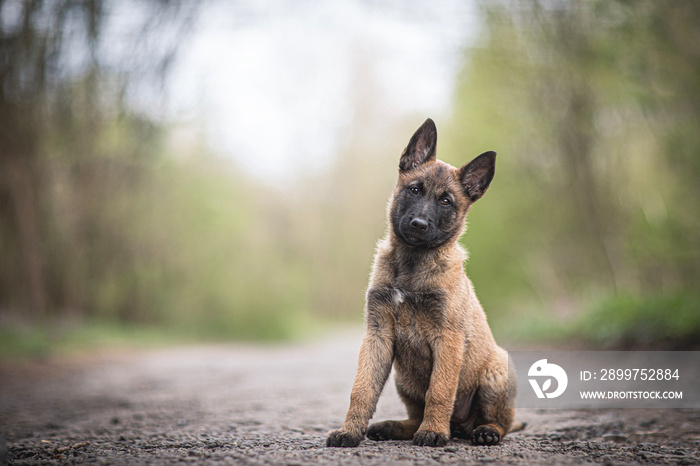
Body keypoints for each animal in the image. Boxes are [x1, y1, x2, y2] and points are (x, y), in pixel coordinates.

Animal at [326, 118, 516, 446]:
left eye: (446, 201)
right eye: (414, 190)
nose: (418, 225)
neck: (412, 263)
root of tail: (461, 426)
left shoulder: (448, 338)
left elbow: (439, 391)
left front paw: (433, 431)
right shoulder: (378, 334)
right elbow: (362, 389)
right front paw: (349, 431)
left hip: (496, 371)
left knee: (503, 421)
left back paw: (484, 431)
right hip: (403, 379)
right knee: (415, 414)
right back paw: (393, 427)